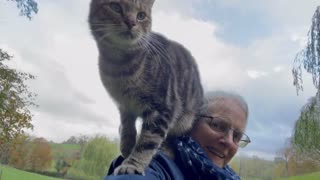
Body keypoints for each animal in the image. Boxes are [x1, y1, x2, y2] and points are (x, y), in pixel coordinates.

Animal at [88, 0, 202, 175]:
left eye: (141, 16)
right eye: (115, 7)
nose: (131, 22)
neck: (118, 65)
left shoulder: (162, 107)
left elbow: (147, 142)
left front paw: (132, 164)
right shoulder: (124, 105)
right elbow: (127, 127)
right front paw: (127, 146)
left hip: (184, 119)